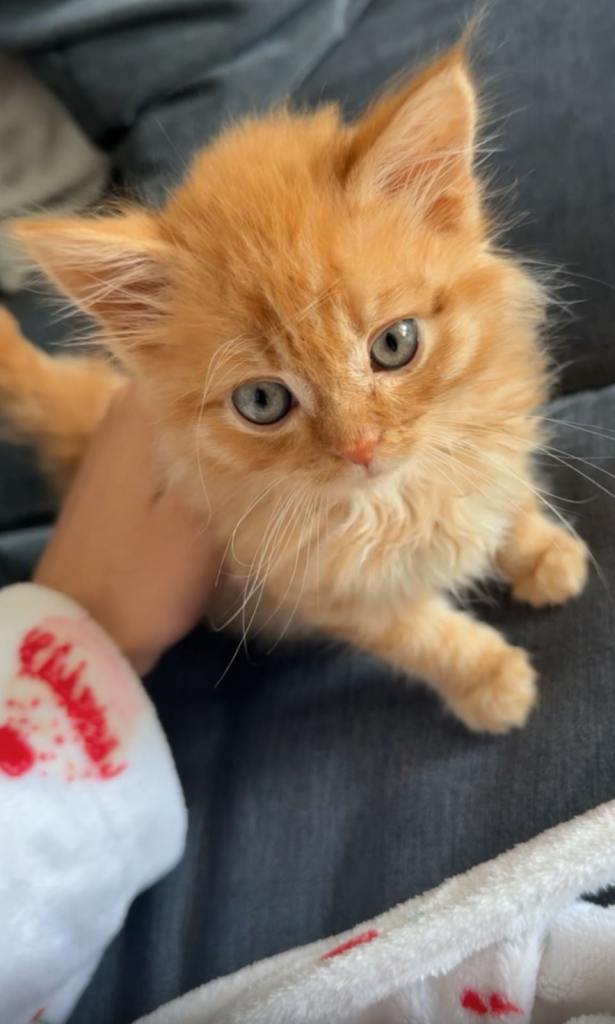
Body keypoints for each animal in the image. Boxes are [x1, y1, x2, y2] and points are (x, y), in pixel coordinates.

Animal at [0, 44, 588, 733]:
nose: (361, 448)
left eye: (394, 344)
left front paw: (544, 553)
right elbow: (422, 637)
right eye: (262, 401)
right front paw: (490, 682)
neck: (397, 501)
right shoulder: (318, 587)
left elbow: (505, 495)